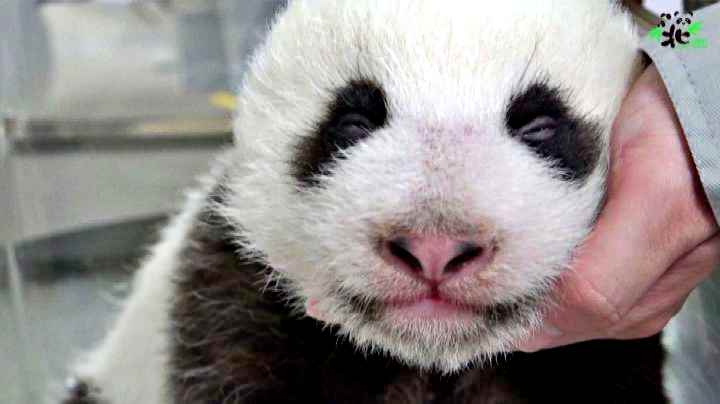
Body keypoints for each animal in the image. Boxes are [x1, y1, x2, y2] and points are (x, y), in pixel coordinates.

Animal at [60, 1, 668, 403]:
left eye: (539, 123)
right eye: (353, 120)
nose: (434, 247)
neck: (430, 360)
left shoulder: (601, 357)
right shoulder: (234, 311)